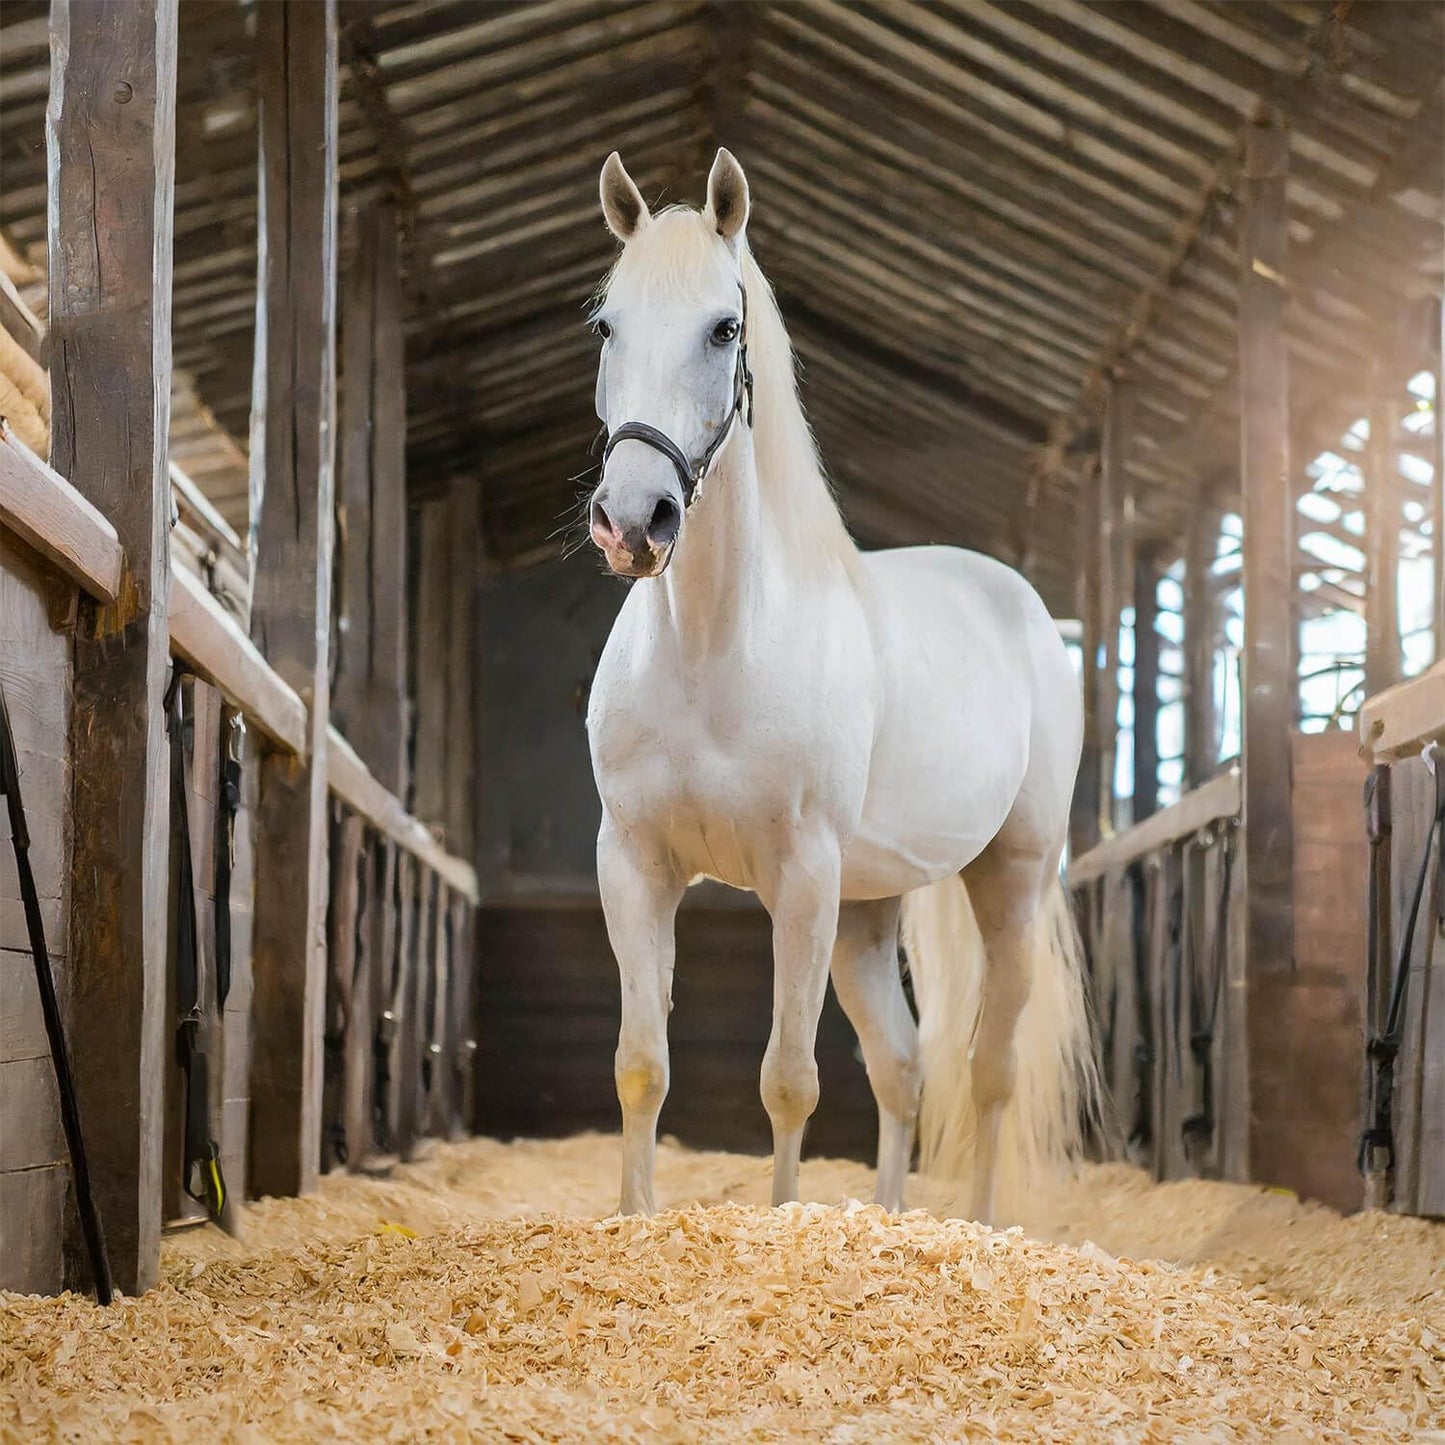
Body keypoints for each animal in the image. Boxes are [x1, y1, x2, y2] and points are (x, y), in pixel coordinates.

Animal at [583, 148, 1095, 1224]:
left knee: (987, 1070)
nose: (632, 521)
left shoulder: (801, 876)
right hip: (868, 910)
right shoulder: (634, 863)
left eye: (723, 327)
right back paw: (892, 1217)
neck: (713, 651)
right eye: (606, 325)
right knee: (903, 1066)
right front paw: (632, 1219)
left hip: (1008, 879)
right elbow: (641, 1065)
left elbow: (788, 1079)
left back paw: (980, 1225)